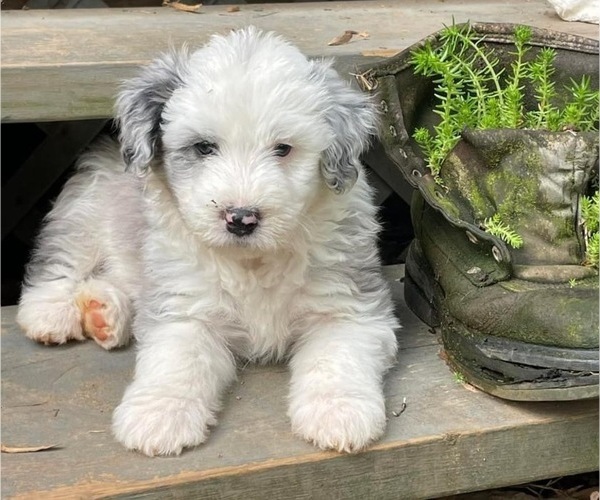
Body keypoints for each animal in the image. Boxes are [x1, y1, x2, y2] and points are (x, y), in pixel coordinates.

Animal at [18, 27, 400, 458]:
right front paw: (159, 417)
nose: (241, 218)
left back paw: (103, 313)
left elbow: (337, 358)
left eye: (283, 148)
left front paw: (339, 413)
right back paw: (51, 313)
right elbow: (177, 360)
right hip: (83, 214)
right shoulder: (185, 306)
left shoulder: (348, 305)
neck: (253, 262)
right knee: (60, 264)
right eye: (203, 147)